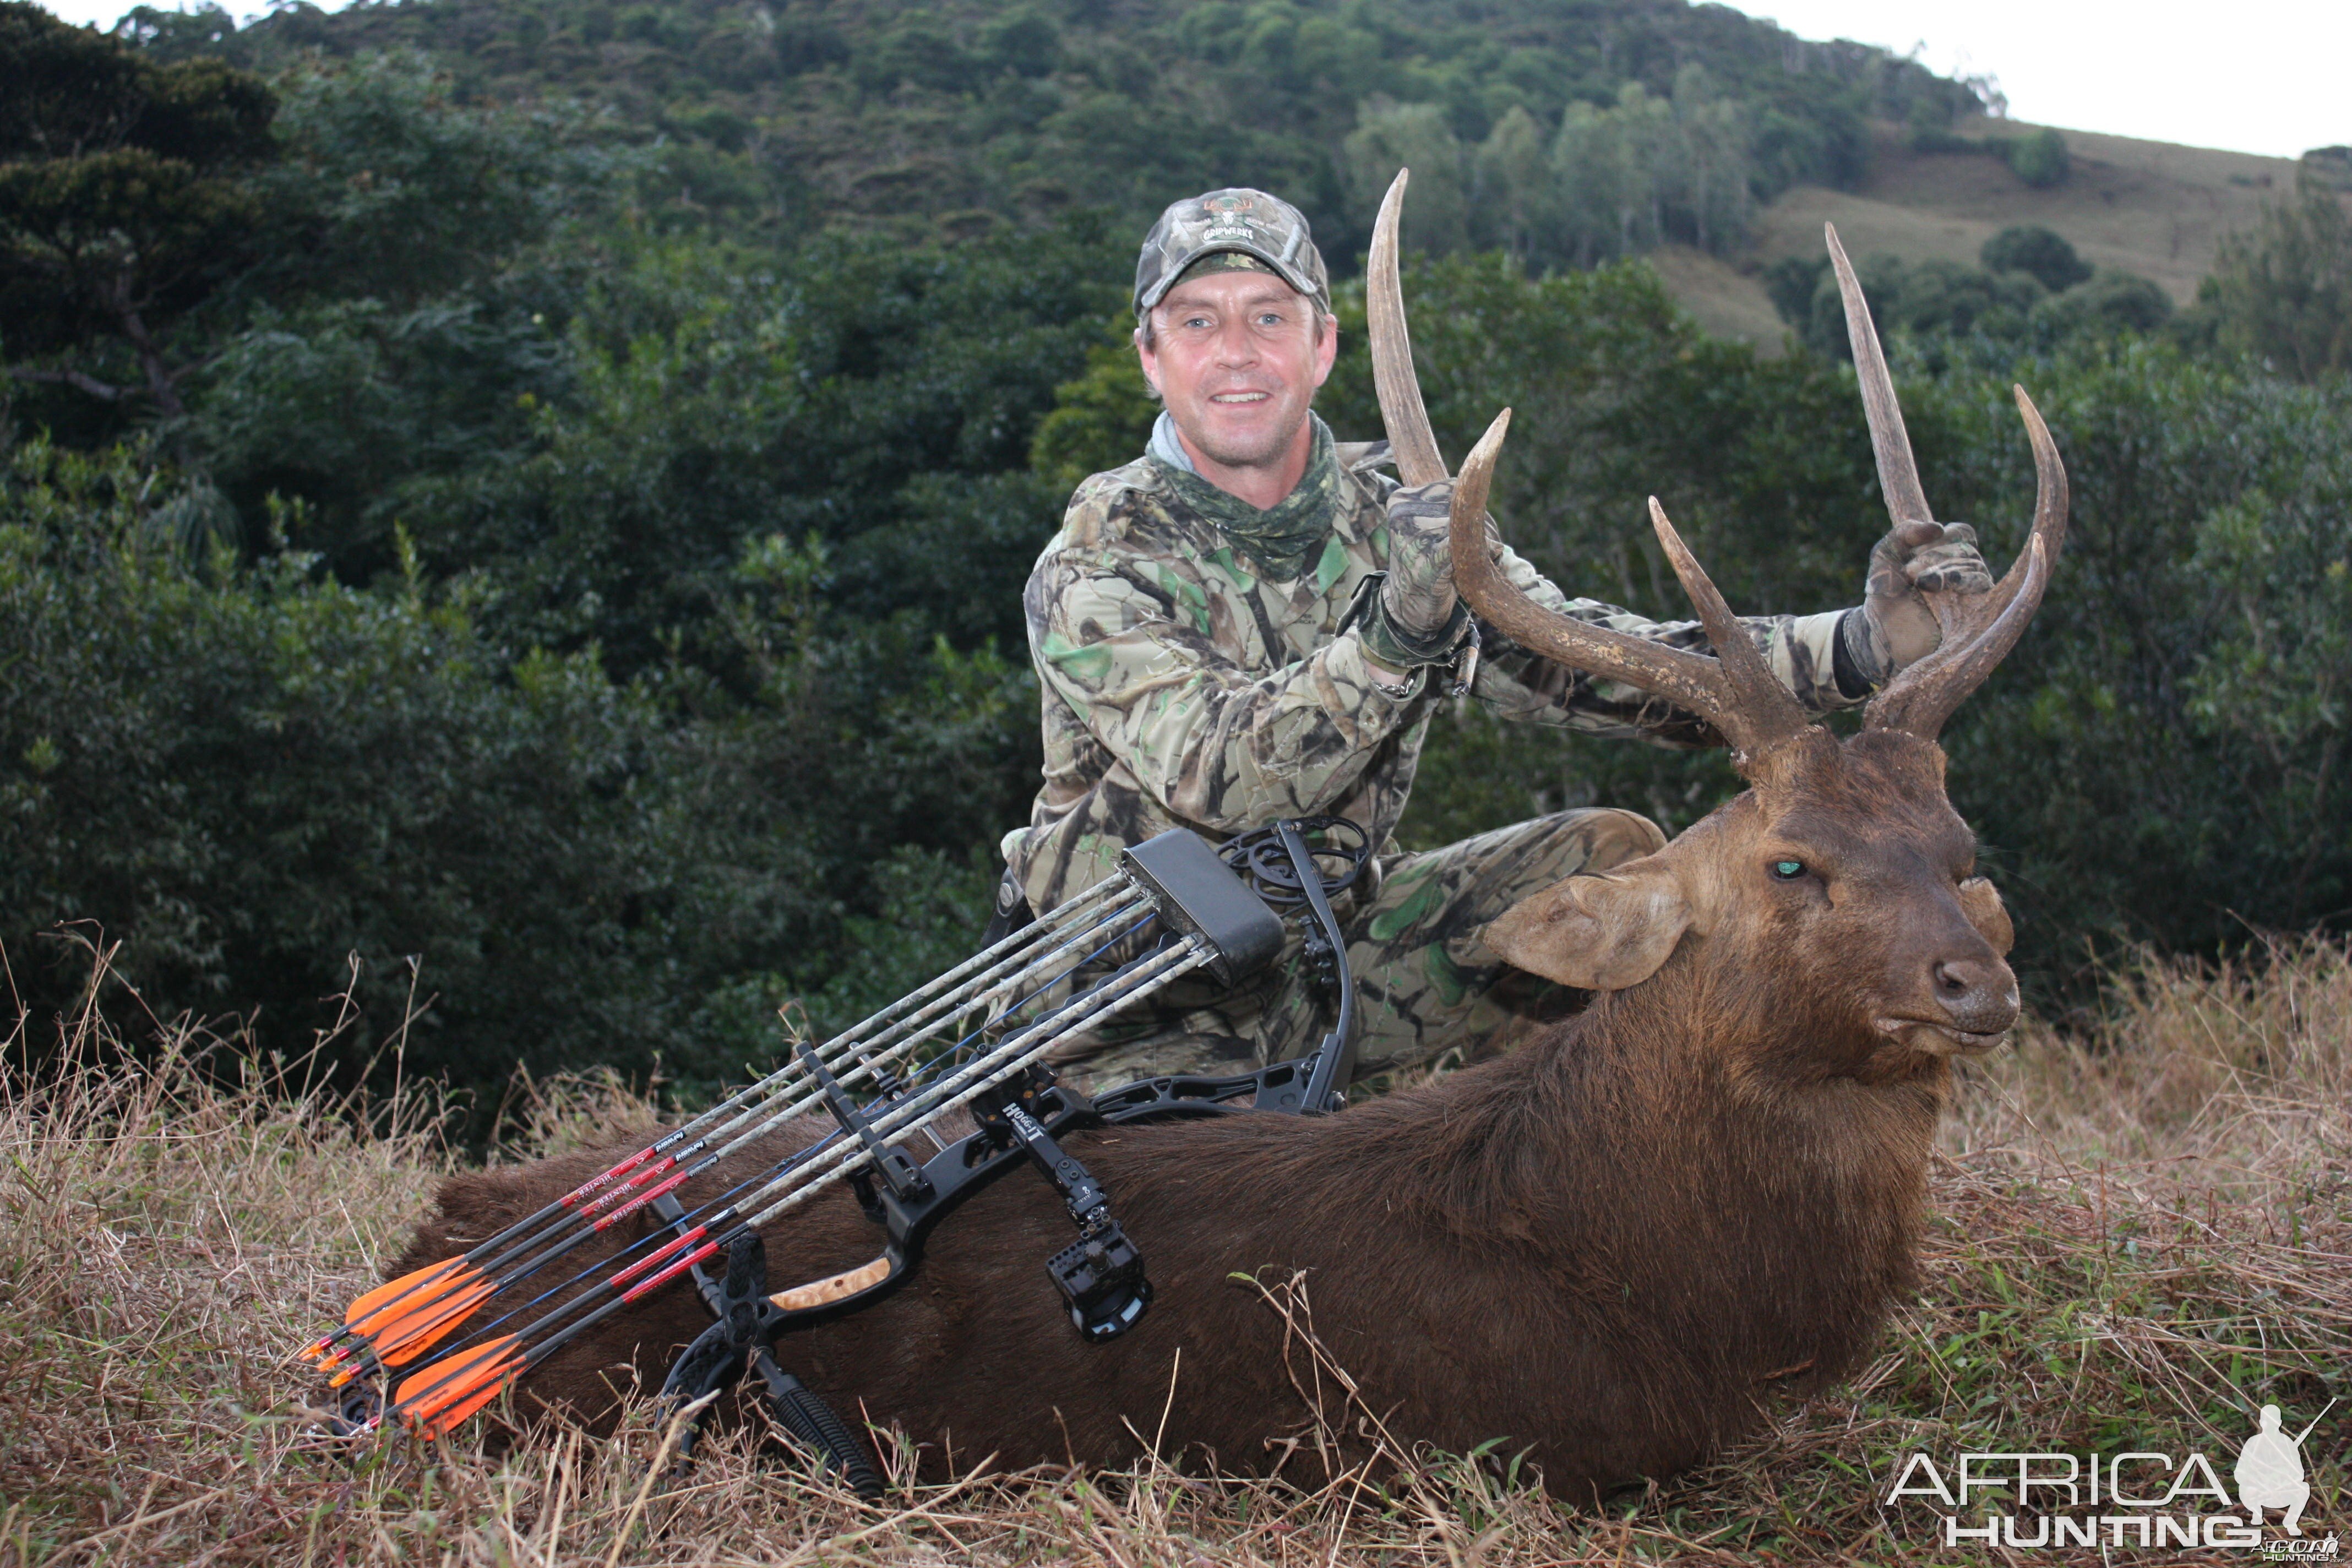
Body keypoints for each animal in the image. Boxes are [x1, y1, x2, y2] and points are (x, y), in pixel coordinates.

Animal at [380, 202, 2067, 1504]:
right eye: (1789, 864)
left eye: (1957, 838)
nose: (1975, 984)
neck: (1664, 1275)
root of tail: (438, 1230)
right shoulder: (1529, 1452)